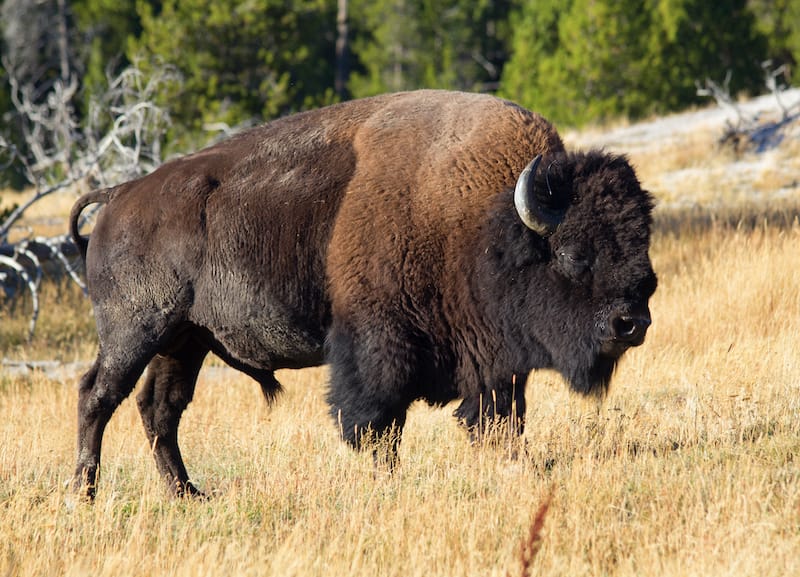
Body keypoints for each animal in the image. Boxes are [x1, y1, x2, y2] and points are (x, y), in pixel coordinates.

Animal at [69, 88, 656, 498]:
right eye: (575, 254)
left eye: (642, 248)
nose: (632, 323)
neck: (484, 220)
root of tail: (119, 195)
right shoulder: (378, 348)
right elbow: (376, 425)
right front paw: (386, 481)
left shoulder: (495, 365)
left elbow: (501, 419)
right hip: (135, 330)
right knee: (98, 395)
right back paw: (84, 493)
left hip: (184, 341)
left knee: (159, 409)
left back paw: (188, 496)